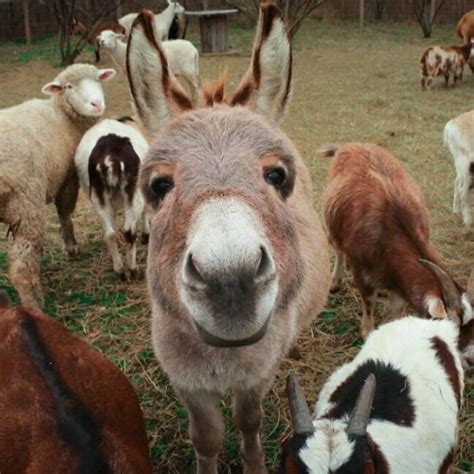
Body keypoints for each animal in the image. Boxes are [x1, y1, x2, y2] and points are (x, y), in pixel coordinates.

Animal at [0, 65, 115, 310]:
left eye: (97, 79)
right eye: (69, 86)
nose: (97, 103)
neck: (62, 115)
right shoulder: (68, 177)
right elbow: (65, 212)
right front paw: (70, 246)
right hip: (27, 204)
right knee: (23, 266)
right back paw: (35, 305)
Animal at [74, 118, 150, 280]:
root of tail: (109, 160)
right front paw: (146, 235)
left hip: (98, 196)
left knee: (110, 234)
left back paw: (120, 270)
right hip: (133, 192)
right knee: (129, 232)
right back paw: (133, 269)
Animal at [128, 4, 332, 474]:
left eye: (277, 176)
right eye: (159, 186)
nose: (230, 281)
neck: (223, 356)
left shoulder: (256, 374)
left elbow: (248, 421)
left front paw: (254, 462)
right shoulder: (187, 381)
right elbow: (206, 437)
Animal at [320, 143, 472, 338]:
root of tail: (350, 145)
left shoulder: (399, 279)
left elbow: (397, 309)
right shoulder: (361, 271)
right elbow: (368, 302)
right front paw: (367, 332)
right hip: (331, 223)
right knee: (338, 249)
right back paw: (335, 282)